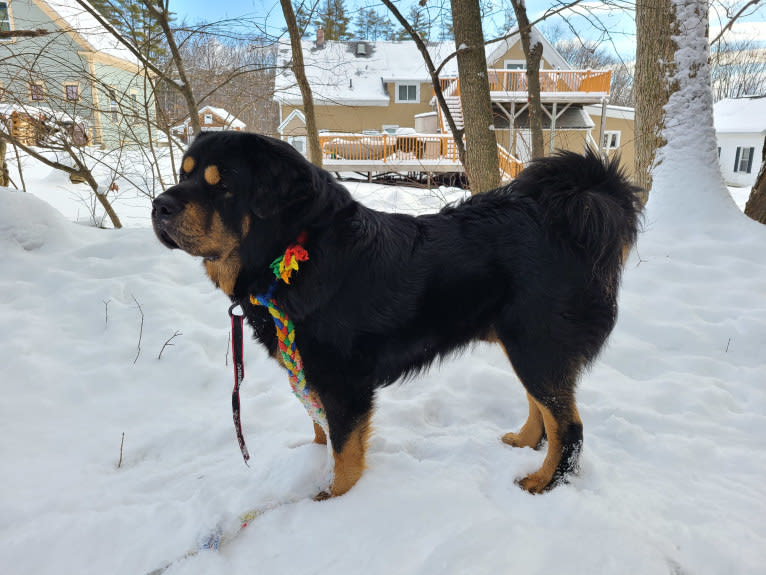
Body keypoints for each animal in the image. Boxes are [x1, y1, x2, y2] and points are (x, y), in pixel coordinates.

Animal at [150, 132, 640, 500]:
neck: (295, 250)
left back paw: (544, 480)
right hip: (525, 345)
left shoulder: (343, 382)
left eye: (222, 186)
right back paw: (525, 442)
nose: (159, 206)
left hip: (536, 344)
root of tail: (574, 210)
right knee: (545, 408)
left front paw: (334, 500)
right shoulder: (310, 372)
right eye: (184, 174)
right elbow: (321, 431)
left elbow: (345, 452)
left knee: (569, 426)